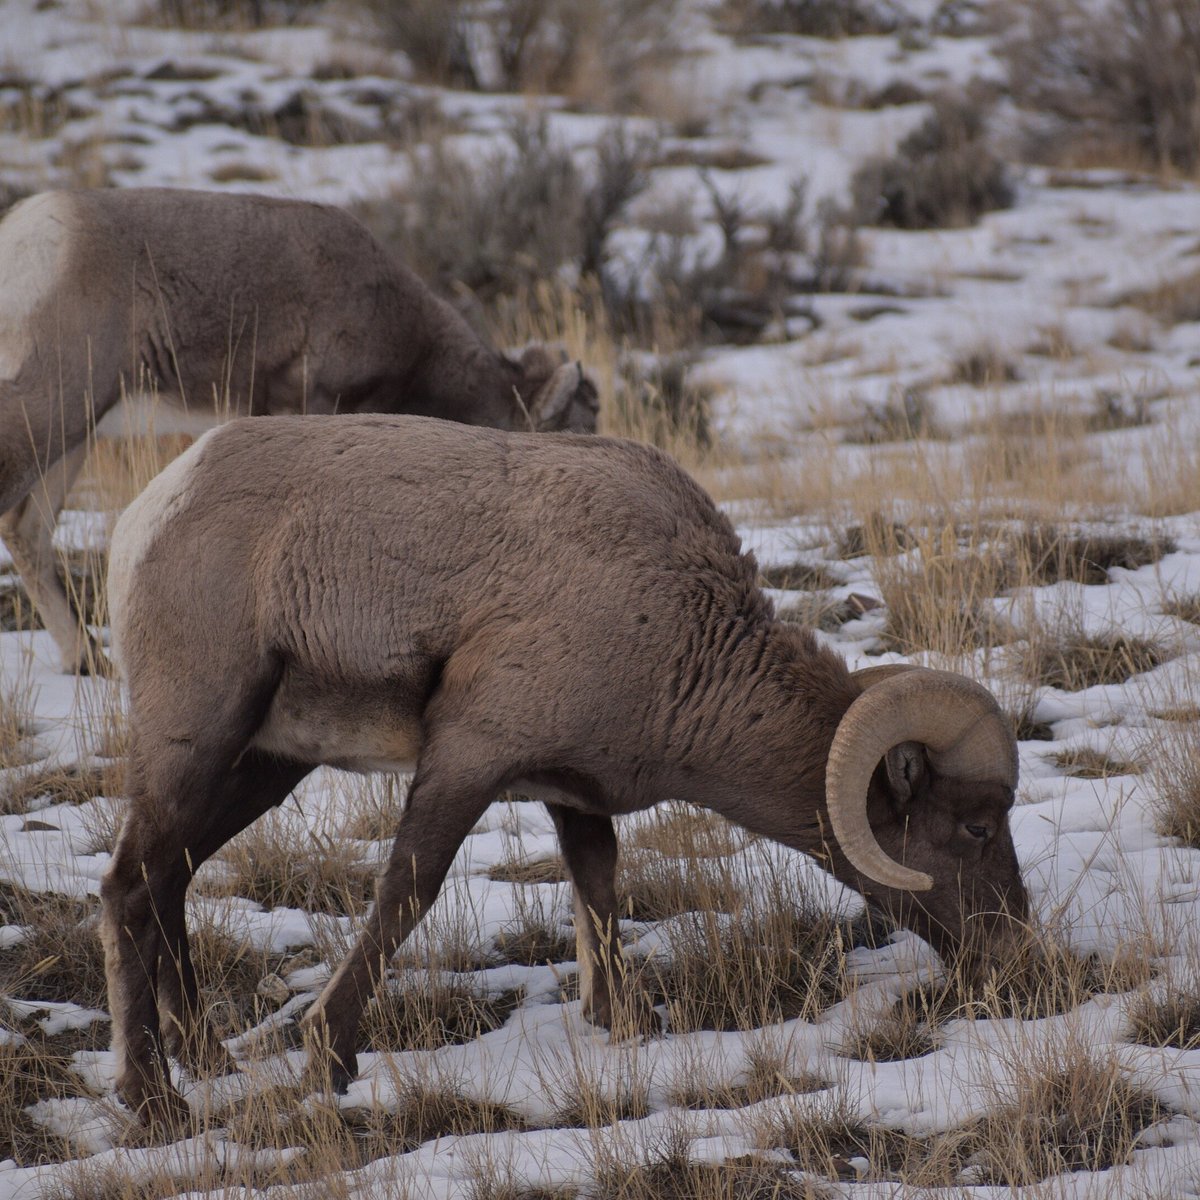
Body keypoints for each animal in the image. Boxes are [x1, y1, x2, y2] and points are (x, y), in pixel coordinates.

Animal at [103, 412, 1027, 1123]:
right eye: (977, 826)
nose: (1015, 949)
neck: (676, 630)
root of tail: (150, 513)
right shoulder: (469, 755)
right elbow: (409, 890)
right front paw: (330, 1059)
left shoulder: (573, 796)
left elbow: (599, 885)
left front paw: (621, 1022)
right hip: (200, 741)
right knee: (130, 889)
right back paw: (155, 1104)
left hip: (264, 767)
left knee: (169, 880)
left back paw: (208, 1063)